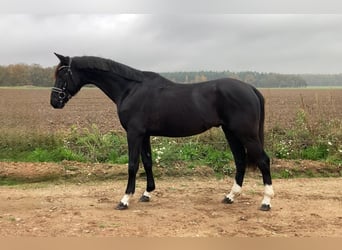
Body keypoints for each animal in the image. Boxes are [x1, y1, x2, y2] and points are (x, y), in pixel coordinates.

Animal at [50, 53, 274, 212]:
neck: (130, 89)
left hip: (246, 134)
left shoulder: (134, 133)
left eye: (63, 74)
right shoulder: (144, 135)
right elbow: (148, 162)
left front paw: (125, 199)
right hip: (231, 132)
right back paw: (230, 196)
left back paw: (266, 201)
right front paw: (147, 193)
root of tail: (251, 88)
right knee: (240, 160)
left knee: (263, 160)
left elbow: (132, 165)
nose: (54, 102)